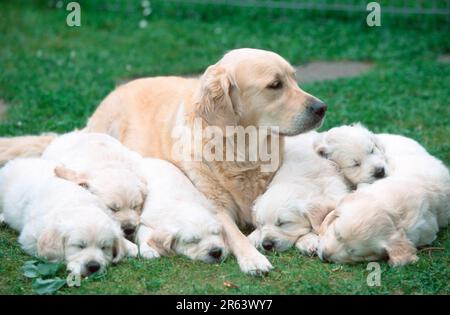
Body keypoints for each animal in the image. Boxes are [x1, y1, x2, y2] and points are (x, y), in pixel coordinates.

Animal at [0, 158, 137, 276]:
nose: (93, 266)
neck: (78, 205)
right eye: (80, 246)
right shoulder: (29, 236)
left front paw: (128, 247)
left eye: (104, 248)